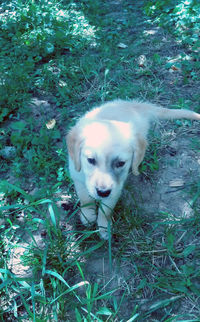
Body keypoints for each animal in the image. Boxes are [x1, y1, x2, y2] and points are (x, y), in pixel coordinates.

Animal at [67, 100, 200, 239]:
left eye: (121, 163)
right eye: (91, 160)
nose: (103, 192)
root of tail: (135, 106)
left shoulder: (116, 189)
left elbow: (106, 210)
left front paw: (104, 228)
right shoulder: (78, 177)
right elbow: (85, 199)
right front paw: (88, 216)